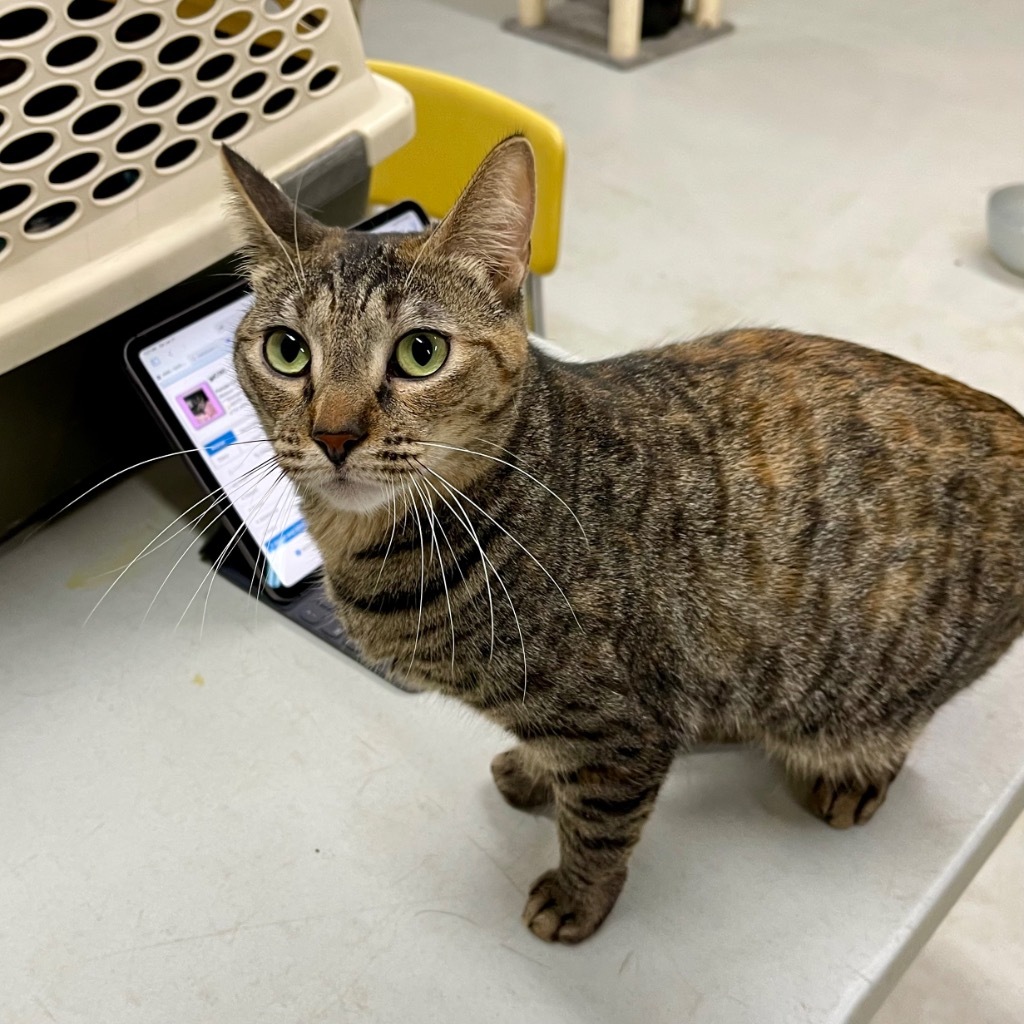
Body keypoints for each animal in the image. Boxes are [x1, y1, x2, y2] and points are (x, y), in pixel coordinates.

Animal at [220, 138, 1024, 942]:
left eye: (421, 352)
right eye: (288, 350)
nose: (333, 435)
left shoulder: (620, 730)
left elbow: (599, 826)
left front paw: (578, 897)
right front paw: (533, 773)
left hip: (868, 685)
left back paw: (852, 777)